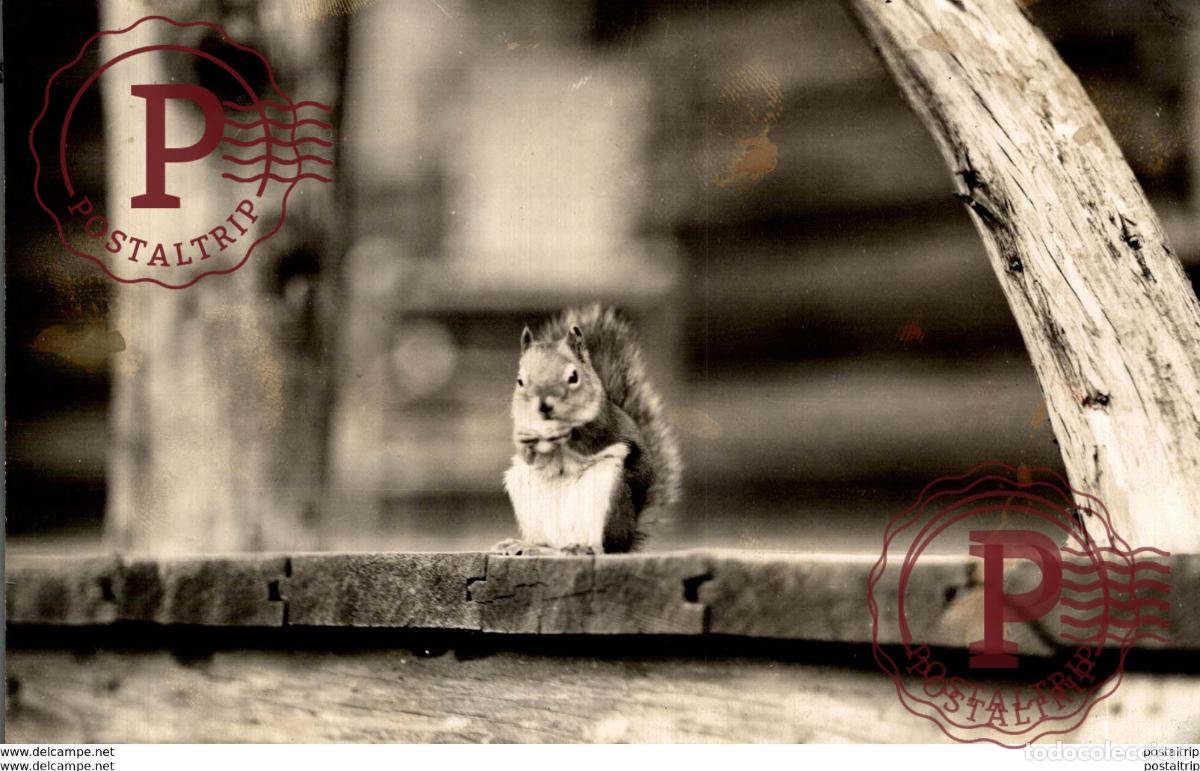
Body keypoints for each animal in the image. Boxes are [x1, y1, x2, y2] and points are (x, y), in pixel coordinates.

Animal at [495, 304, 682, 555]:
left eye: (573, 376)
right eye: (520, 381)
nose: (544, 405)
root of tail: (627, 537)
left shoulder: (604, 424)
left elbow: (590, 440)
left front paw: (567, 431)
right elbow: (529, 456)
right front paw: (523, 438)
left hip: (609, 492)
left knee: (604, 546)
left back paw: (585, 548)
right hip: (524, 488)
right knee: (548, 544)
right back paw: (528, 545)